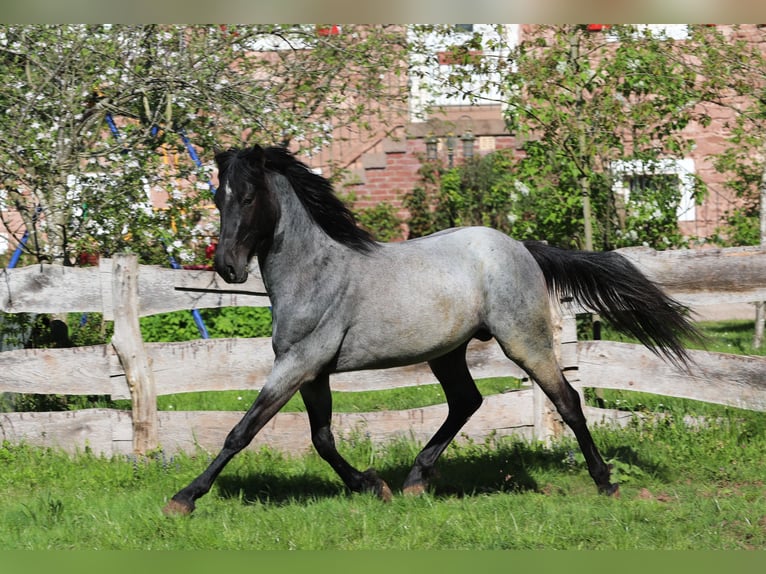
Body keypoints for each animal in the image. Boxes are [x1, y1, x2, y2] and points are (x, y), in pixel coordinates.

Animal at [163, 144, 699, 516]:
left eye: (249, 195)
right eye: (217, 197)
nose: (227, 267)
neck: (316, 272)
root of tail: (520, 247)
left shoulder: (298, 364)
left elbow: (243, 431)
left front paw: (184, 498)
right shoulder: (312, 372)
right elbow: (322, 438)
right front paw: (372, 485)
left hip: (523, 340)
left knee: (567, 400)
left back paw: (605, 480)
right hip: (448, 351)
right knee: (467, 402)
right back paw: (416, 480)